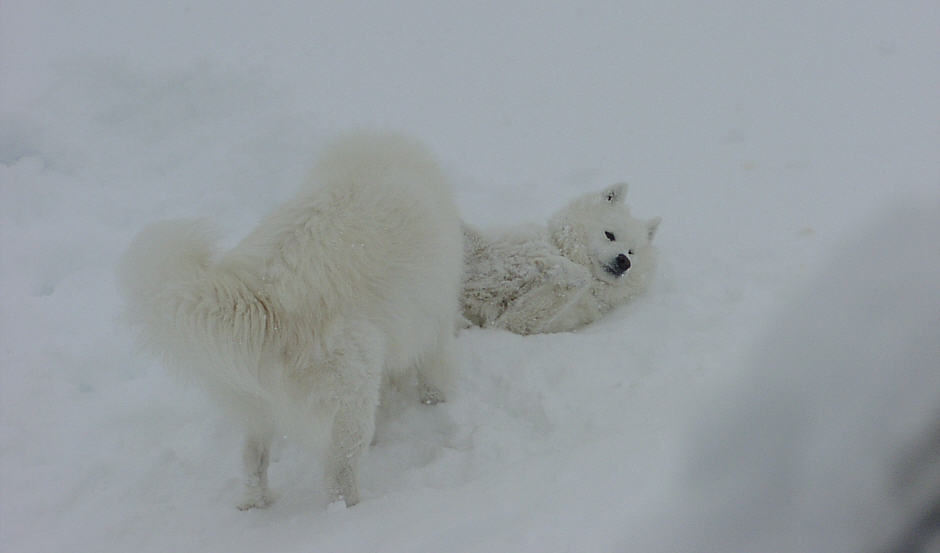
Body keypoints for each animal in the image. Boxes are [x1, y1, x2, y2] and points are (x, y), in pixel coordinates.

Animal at [117, 134, 462, 508]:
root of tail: (262, 303)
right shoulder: (435, 325)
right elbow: (434, 379)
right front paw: (438, 405)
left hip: (255, 408)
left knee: (252, 459)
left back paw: (255, 504)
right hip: (350, 398)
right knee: (339, 477)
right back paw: (354, 508)